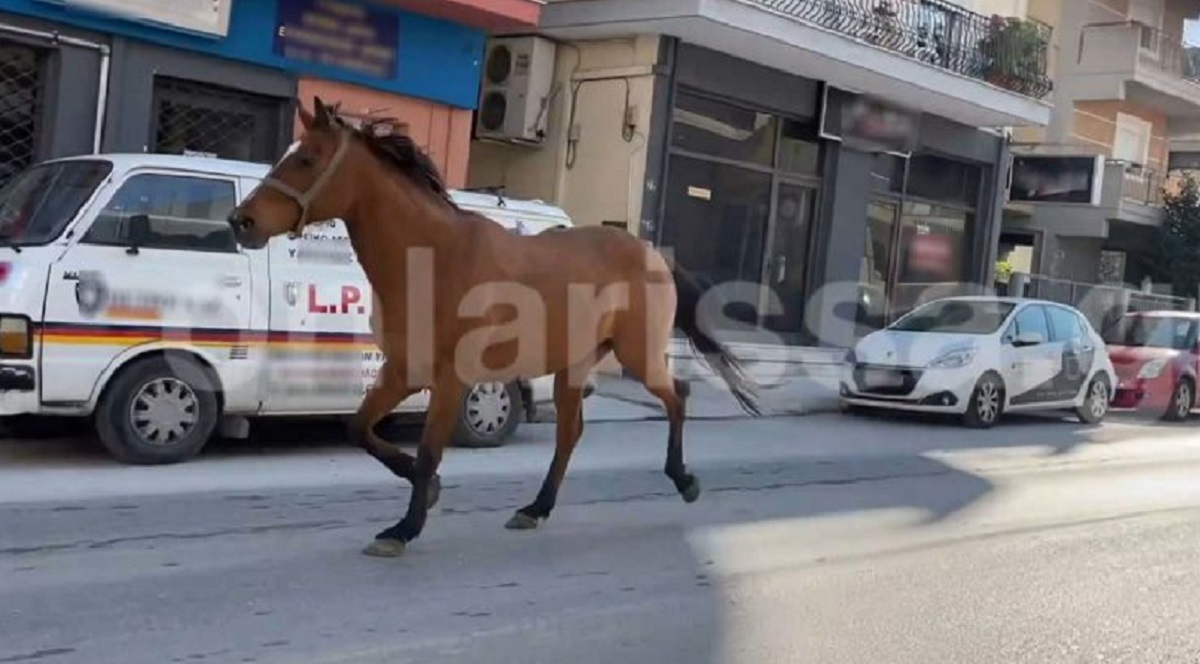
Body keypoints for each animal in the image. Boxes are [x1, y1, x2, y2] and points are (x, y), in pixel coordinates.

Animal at [225, 97, 758, 554]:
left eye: (307, 159)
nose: (240, 221)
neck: (432, 258)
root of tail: (652, 253)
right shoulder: (402, 370)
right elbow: (361, 429)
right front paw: (426, 495)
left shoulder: (449, 379)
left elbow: (428, 452)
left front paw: (403, 528)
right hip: (573, 366)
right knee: (570, 433)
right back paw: (535, 509)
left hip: (638, 353)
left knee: (676, 397)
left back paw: (684, 480)